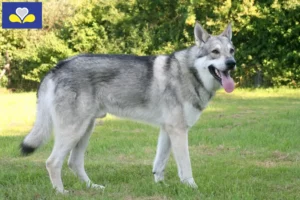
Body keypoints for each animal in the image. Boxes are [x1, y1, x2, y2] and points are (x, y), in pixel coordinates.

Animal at [20, 22, 237, 194]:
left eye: (231, 51)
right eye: (215, 52)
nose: (232, 63)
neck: (190, 73)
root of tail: (57, 67)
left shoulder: (168, 129)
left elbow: (159, 164)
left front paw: (161, 186)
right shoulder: (178, 131)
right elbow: (186, 167)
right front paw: (192, 188)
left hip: (85, 129)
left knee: (73, 162)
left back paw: (93, 187)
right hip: (74, 131)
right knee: (52, 162)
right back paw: (61, 192)